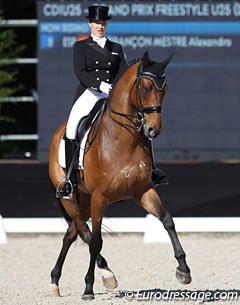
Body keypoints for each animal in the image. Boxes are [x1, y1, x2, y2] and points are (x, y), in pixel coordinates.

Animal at [48, 51, 191, 300]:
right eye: (145, 87)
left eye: (165, 88)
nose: (153, 130)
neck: (121, 139)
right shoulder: (100, 197)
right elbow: (96, 241)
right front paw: (88, 288)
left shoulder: (143, 191)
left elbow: (168, 221)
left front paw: (183, 269)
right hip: (70, 197)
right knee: (84, 232)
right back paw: (101, 275)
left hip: (84, 199)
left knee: (71, 233)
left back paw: (58, 280)